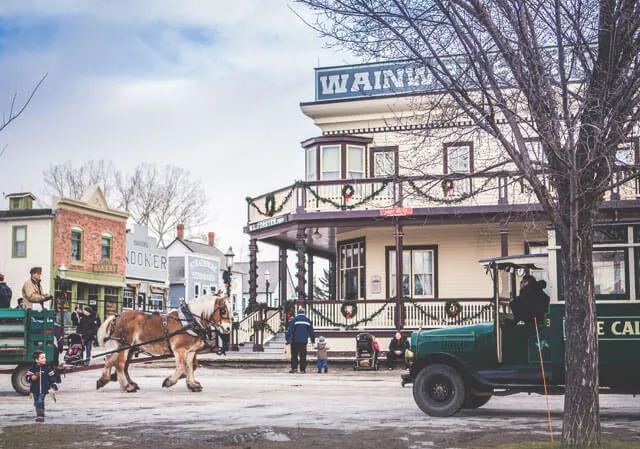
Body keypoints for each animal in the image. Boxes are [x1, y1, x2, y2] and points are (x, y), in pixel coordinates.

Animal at [96, 290, 231, 392]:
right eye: (223, 310)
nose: (228, 328)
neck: (190, 321)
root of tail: (117, 317)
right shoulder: (180, 350)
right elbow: (181, 367)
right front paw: (169, 381)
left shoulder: (191, 351)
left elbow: (190, 367)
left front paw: (192, 384)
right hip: (124, 345)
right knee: (119, 364)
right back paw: (127, 386)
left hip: (128, 347)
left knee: (111, 361)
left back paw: (105, 380)